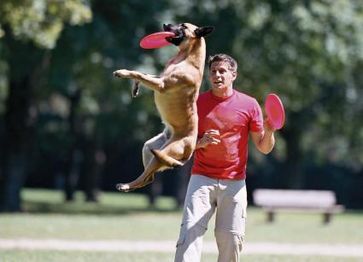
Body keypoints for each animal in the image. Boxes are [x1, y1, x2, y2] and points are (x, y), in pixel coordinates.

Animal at [114, 22, 213, 191]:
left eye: (183, 26)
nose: (166, 24)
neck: (186, 58)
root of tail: (190, 151)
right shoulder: (160, 78)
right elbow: (145, 74)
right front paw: (135, 86)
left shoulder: (161, 85)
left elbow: (138, 73)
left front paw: (124, 72)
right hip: (150, 148)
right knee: (149, 177)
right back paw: (129, 186)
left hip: (163, 153)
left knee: (146, 177)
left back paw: (126, 186)